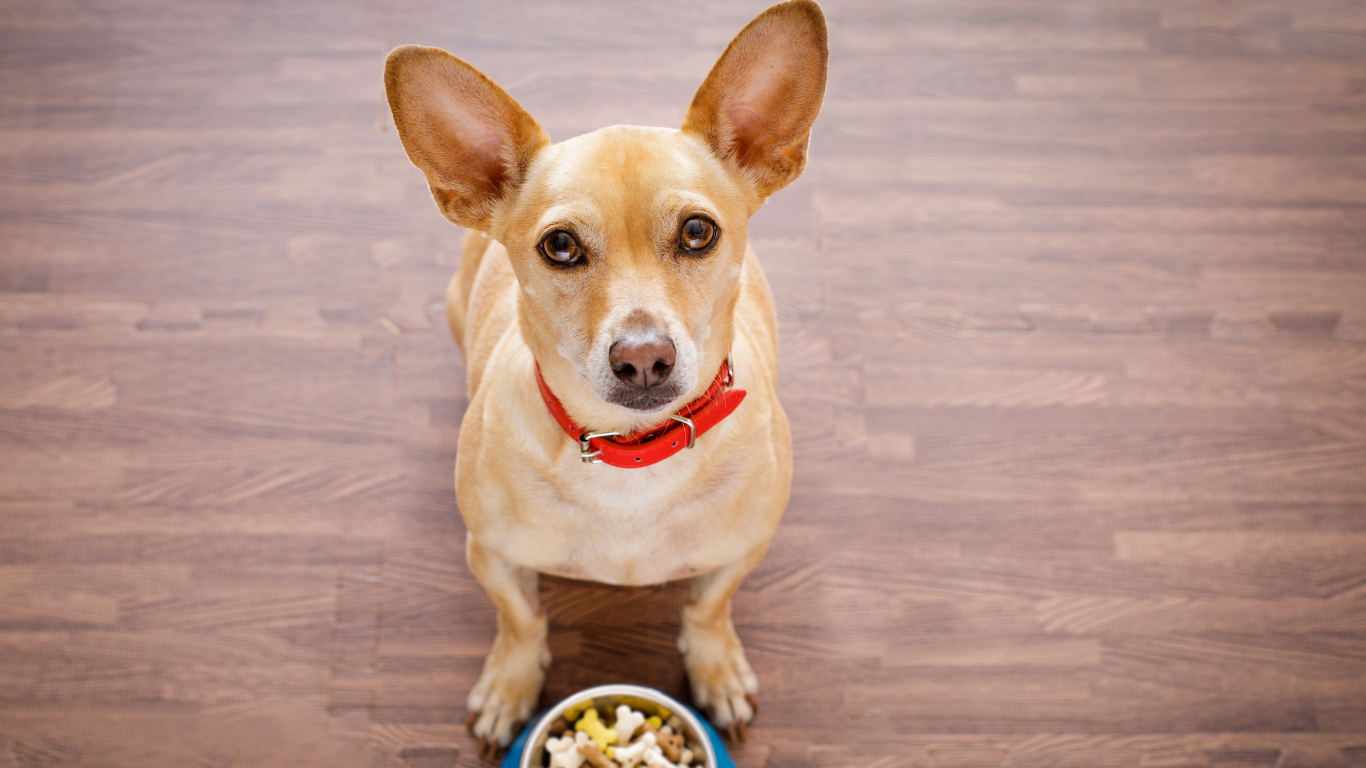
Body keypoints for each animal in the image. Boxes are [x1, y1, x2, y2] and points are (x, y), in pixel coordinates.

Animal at [387, 0, 830, 754]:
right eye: (560, 246)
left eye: (698, 233)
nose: (644, 357)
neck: (632, 452)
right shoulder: (493, 558)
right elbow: (521, 621)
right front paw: (511, 685)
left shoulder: (742, 551)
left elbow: (708, 608)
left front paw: (715, 668)